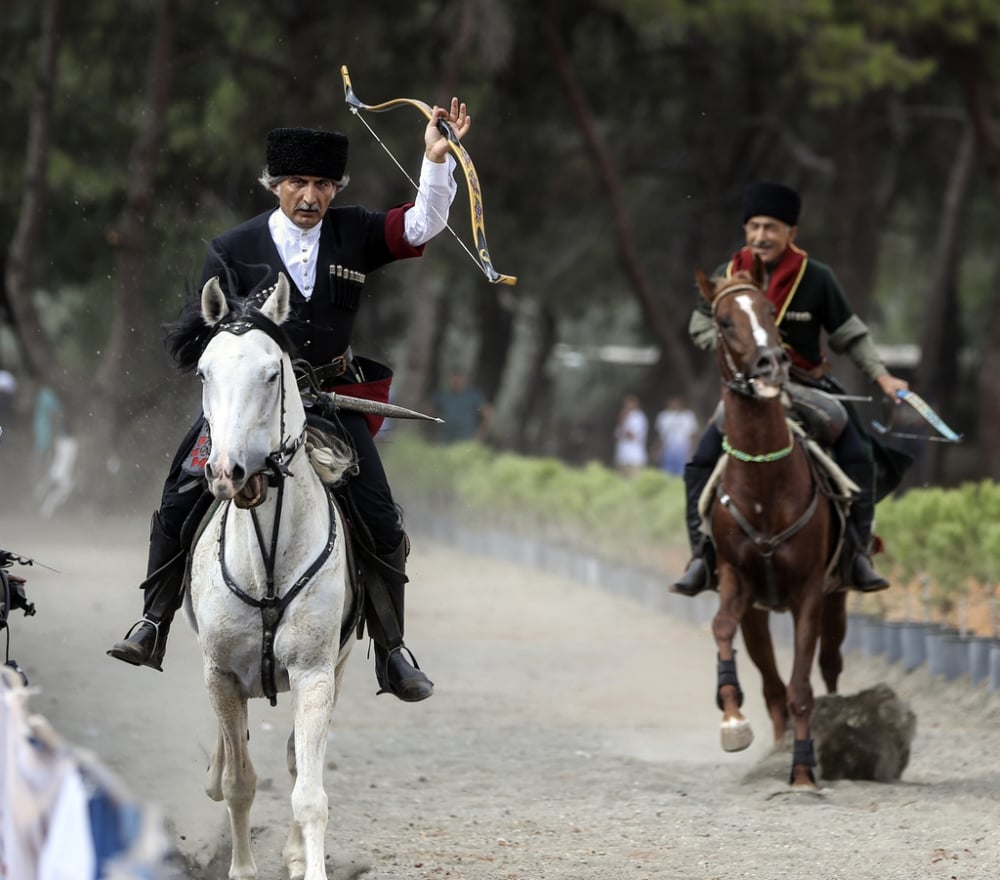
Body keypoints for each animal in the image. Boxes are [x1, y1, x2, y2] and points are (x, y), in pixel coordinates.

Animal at [186, 276, 358, 880]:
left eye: (270, 373)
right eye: (204, 372)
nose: (225, 473)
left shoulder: (315, 672)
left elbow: (309, 792)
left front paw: (305, 862)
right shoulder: (218, 673)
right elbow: (239, 783)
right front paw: (241, 868)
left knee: (292, 761)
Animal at [700, 262, 848, 792]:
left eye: (769, 311)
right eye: (724, 322)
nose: (771, 364)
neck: (765, 488)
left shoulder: (808, 592)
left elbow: (803, 686)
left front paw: (803, 770)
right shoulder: (735, 579)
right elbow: (721, 628)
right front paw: (732, 720)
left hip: (837, 597)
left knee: (829, 664)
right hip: (759, 612)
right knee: (771, 684)